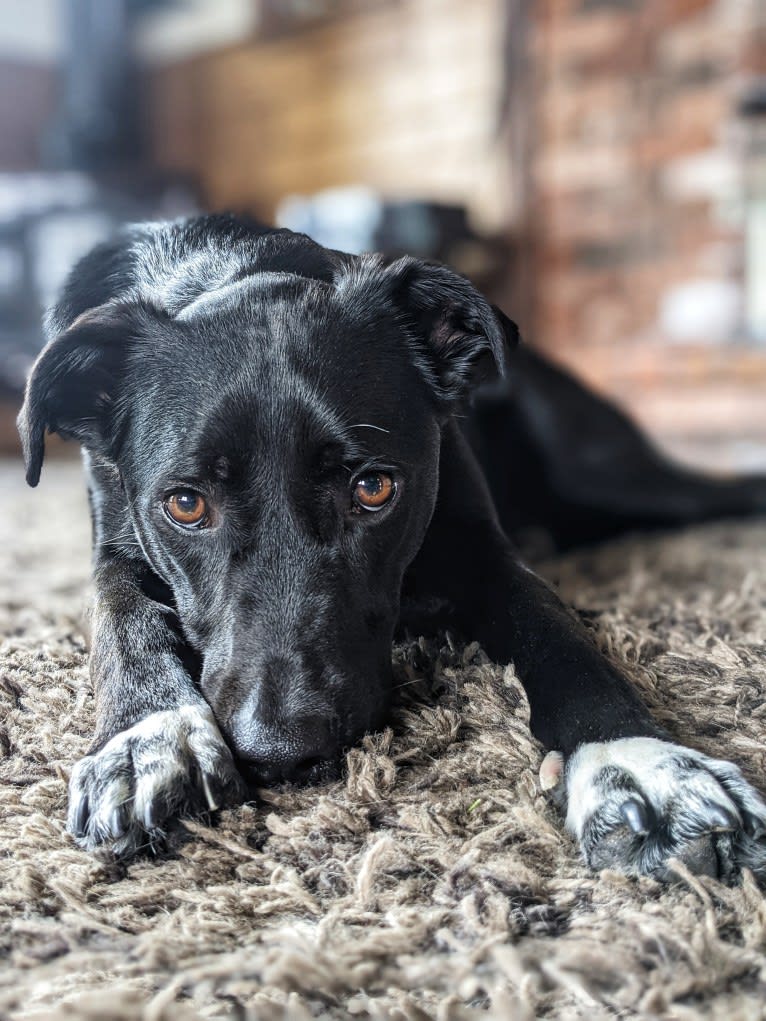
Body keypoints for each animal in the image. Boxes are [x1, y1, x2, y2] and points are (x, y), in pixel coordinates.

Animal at [15, 213, 766, 878]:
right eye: (185, 504)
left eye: (373, 488)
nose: (283, 752)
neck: (235, 269)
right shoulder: (116, 543)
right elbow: (121, 615)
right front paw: (147, 735)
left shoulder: (481, 551)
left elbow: (558, 632)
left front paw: (639, 762)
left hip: (606, 476)